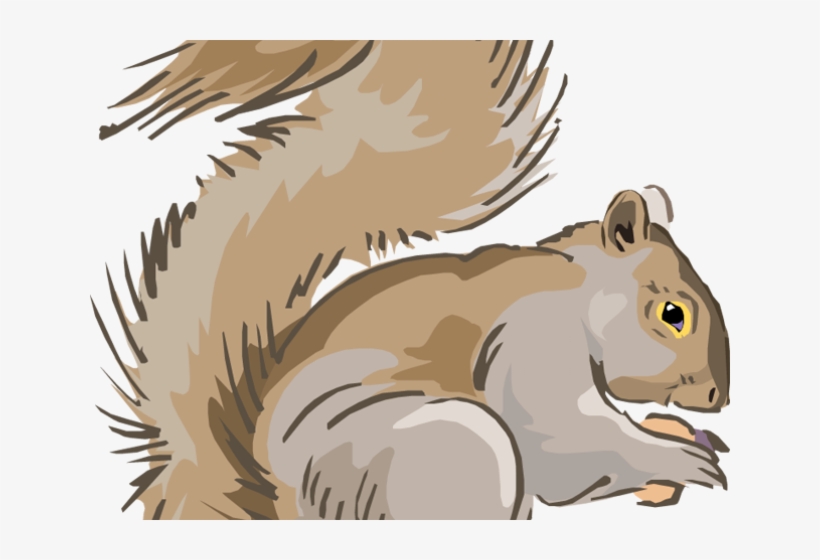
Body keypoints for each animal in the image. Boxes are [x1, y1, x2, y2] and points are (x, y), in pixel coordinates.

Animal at [93, 40, 730, 520]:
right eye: (672, 315)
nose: (717, 399)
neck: (576, 290)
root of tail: (276, 509)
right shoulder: (532, 337)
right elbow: (562, 442)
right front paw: (681, 460)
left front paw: (676, 433)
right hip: (446, 450)